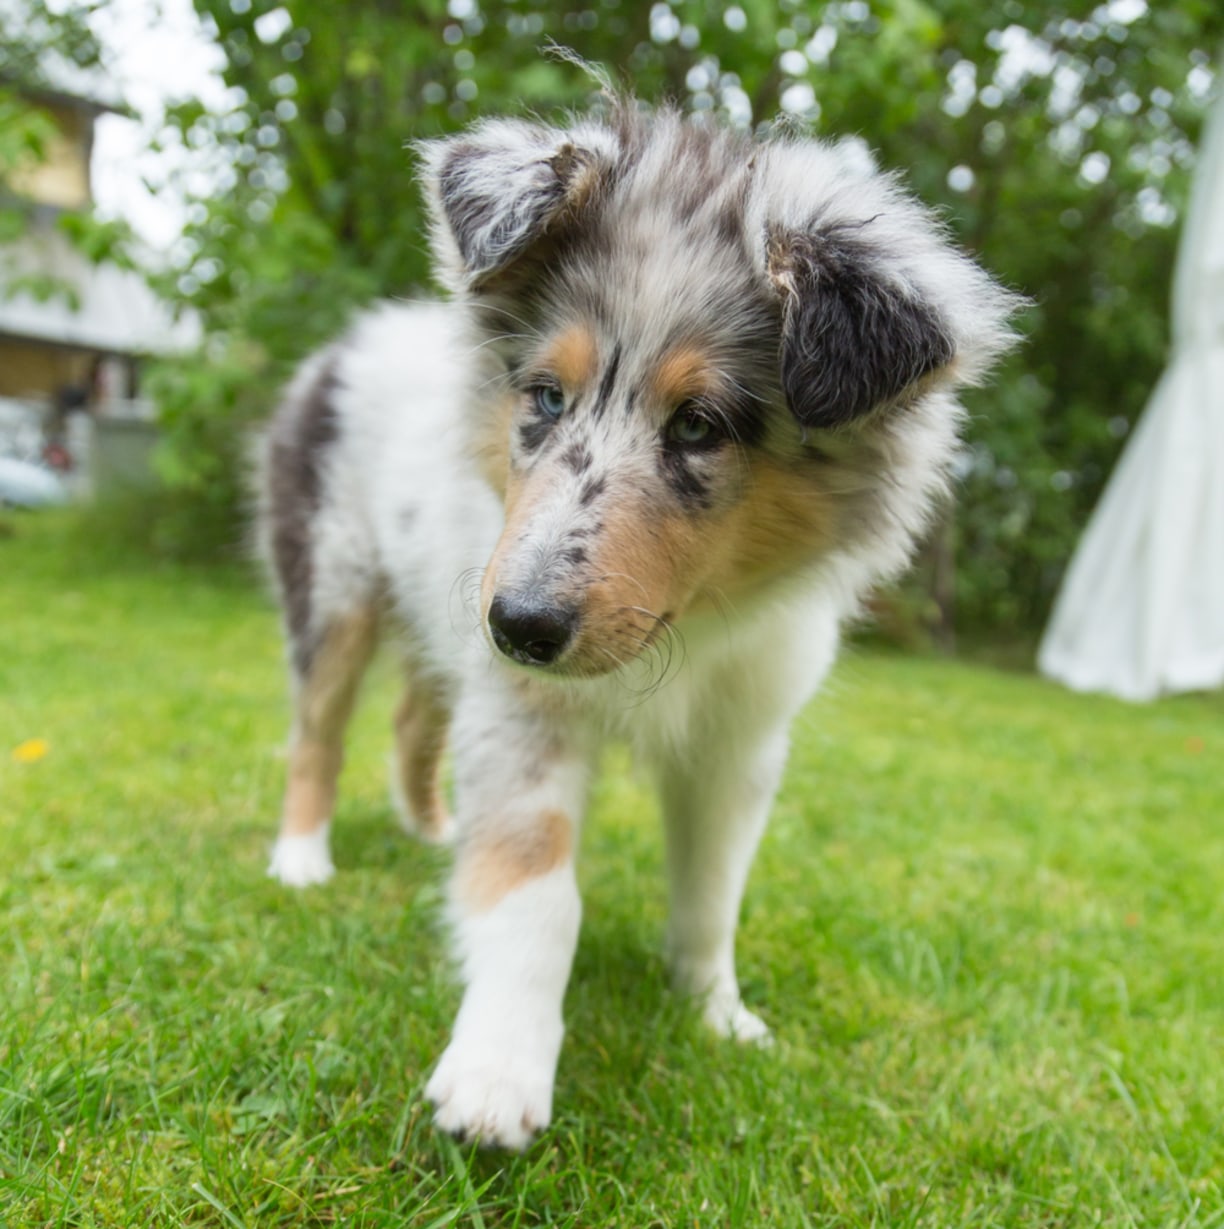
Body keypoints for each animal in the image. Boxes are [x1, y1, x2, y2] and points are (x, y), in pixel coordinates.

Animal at [255, 100, 1012, 1145]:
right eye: (544, 396)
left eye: (699, 425)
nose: (521, 624)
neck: (682, 636)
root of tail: (349, 342)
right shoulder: (520, 706)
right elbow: (539, 892)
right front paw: (497, 1073)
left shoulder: (738, 738)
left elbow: (713, 890)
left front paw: (717, 1013)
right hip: (337, 586)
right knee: (316, 733)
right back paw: (300, 860)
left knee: (412, 717)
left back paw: (434, 830)